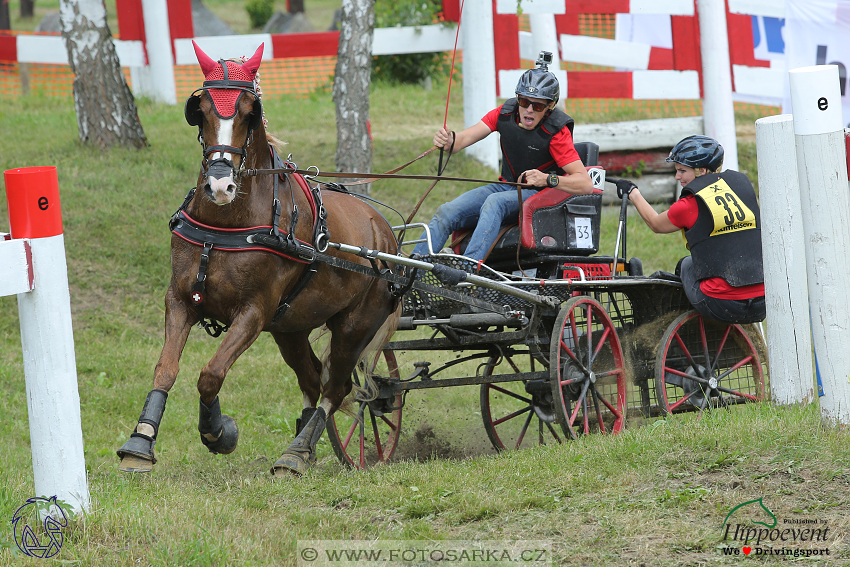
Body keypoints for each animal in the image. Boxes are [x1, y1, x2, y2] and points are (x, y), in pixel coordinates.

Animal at [115, 41, 400, 474]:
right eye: (201, 110)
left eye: (250, 113)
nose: (220, 185)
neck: (226, 225)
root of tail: (384, 231)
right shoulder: (179, 299)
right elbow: (165, 369)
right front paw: (140, 440)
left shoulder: (254, 312)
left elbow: (211, 374)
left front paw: (218, 432)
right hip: (291, 328)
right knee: (312, 379)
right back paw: (303, 443)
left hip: (354, 327)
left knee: (337, 387)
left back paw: (297, 452)